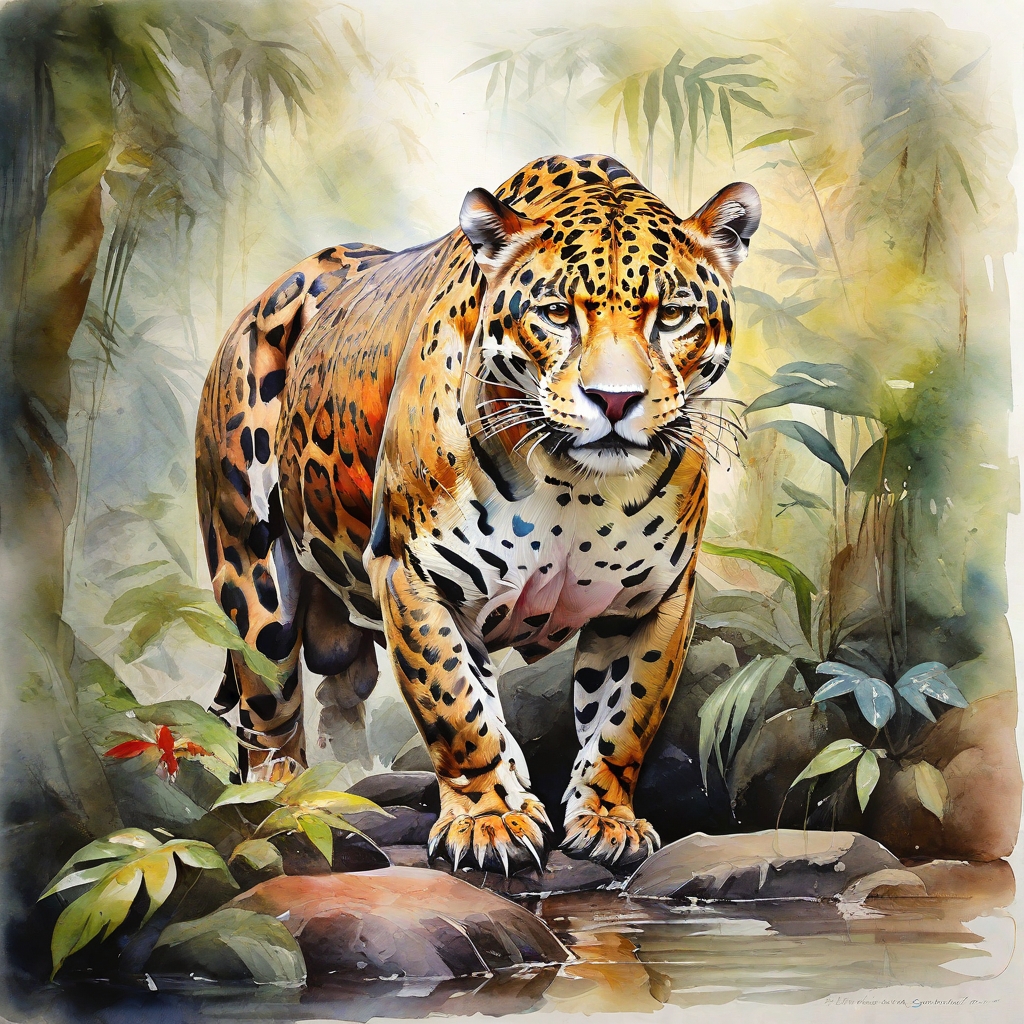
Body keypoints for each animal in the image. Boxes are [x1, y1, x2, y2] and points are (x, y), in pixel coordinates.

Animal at [195, 153, 760, 873]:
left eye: (674, 316)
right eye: (557, 314)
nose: (614, 400)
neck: (578, 486)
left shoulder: (653, 598)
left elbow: (623, 717)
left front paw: (607, 819)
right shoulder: (413, 576)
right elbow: (457, 708)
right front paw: (487, 820)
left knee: (339, 694)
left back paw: (349, 785)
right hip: (254, 581)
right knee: (269, 709)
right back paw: (294, 804)